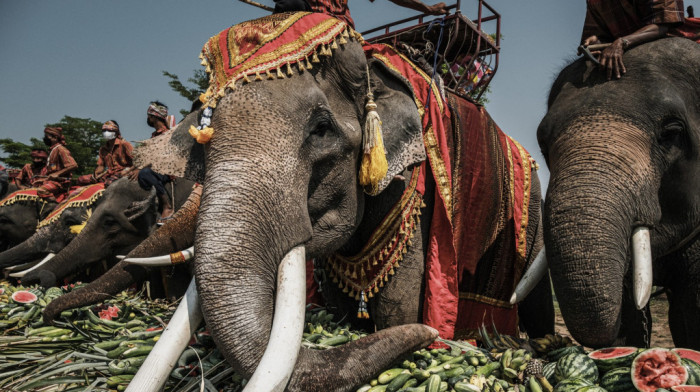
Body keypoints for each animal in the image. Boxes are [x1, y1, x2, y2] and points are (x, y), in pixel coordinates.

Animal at [133, 13, 552, 392]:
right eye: (203, 135)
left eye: (321, 130)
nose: (432, 334)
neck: (371, 66)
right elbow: (338, 300)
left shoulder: (416, 194)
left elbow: (398, 307)